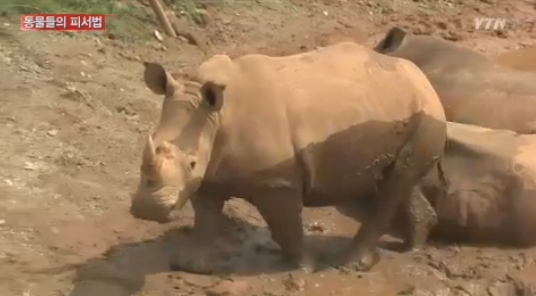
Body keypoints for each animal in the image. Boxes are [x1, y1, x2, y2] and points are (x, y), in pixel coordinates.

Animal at [130, 41, 448, 272]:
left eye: (192, 162)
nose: (148, 210)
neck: (217, 116)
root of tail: (425, 80)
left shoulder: (276, 181)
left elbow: (284, 224)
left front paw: (302, 267)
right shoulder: (210, 173)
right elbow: (205, 216)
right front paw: (190, 266)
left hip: (427, 115)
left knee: (393, 186)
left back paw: (348, 264)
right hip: (400, 111)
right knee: (401, 180)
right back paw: (412, 249)